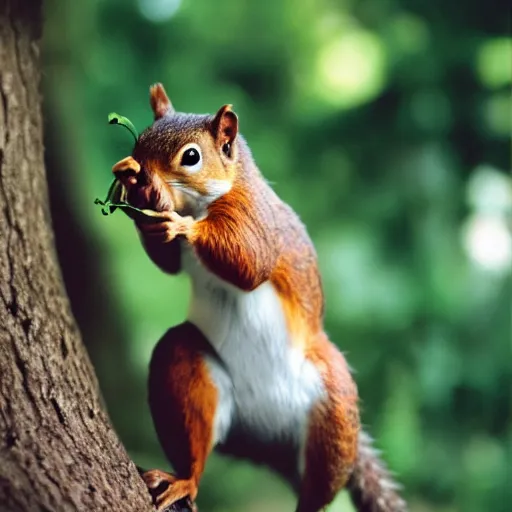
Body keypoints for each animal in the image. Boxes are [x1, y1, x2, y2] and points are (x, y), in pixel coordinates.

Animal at [112, 84, 408, 512]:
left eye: (191, 157)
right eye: (139, 142)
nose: (142, 177)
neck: (207, 199)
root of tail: (265, 436)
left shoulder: (255, 218)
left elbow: (250, 260)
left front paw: (176, 218)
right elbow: (167, 263)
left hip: (332, 411)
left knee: (319, 486)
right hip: (185, 367)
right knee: (194, 450)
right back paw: (183, 479)